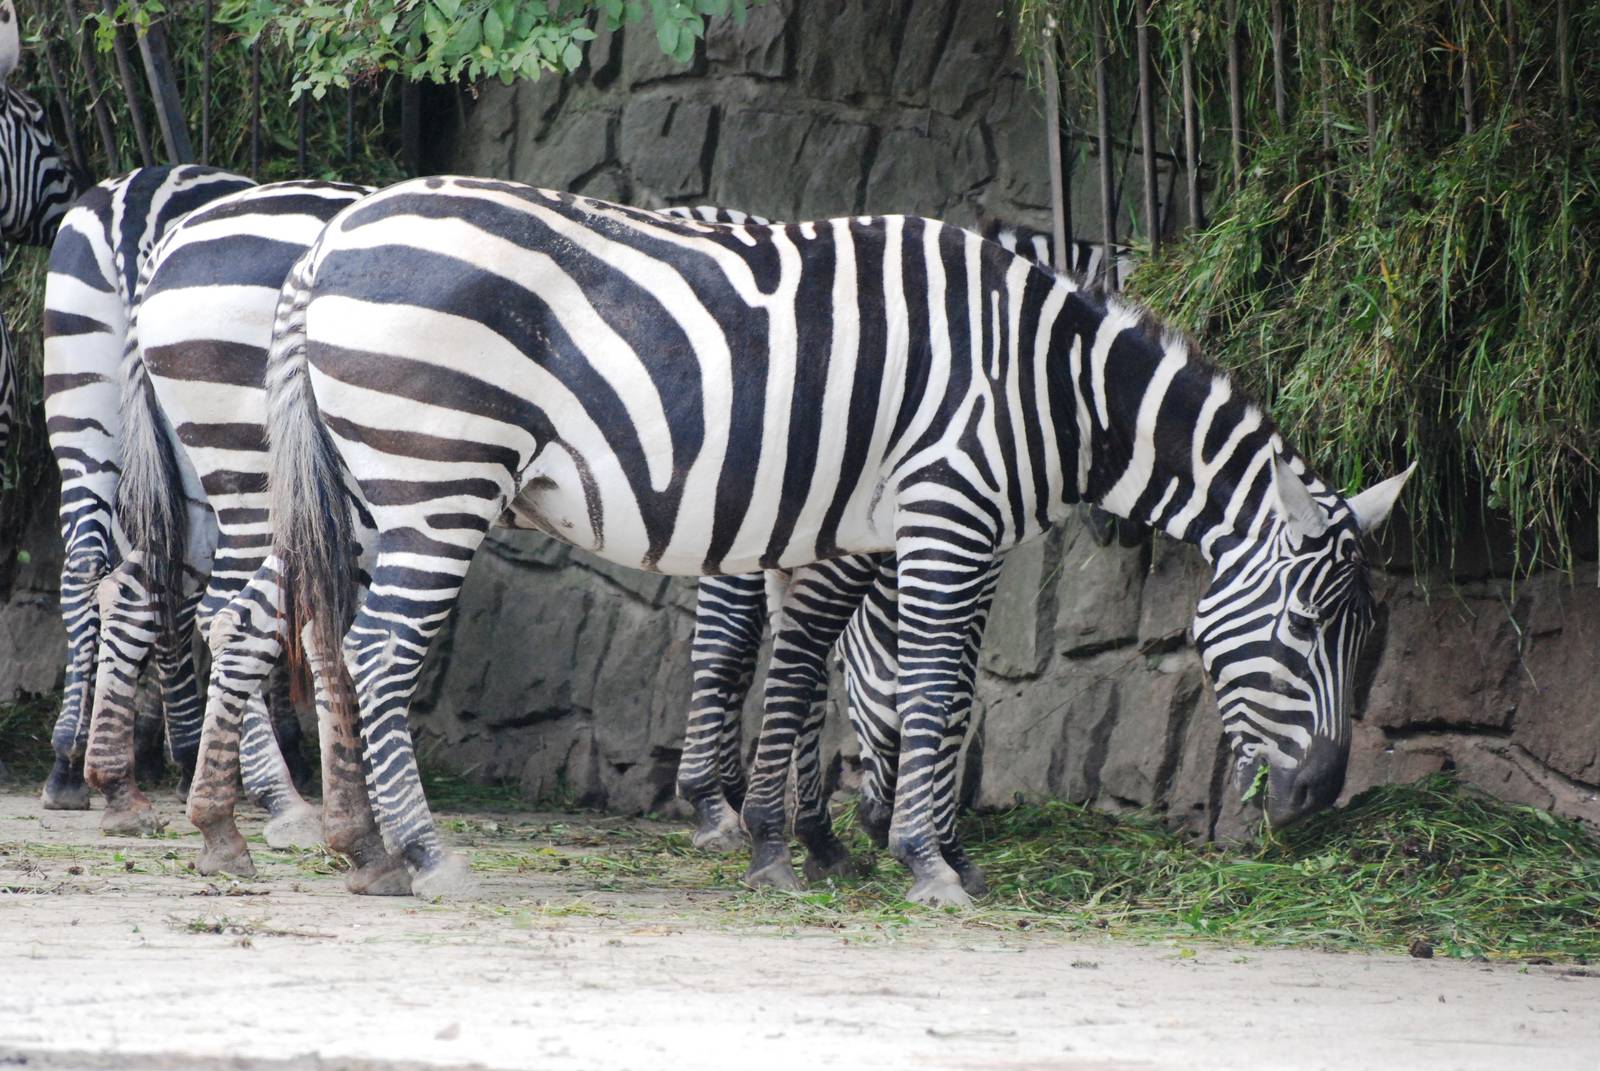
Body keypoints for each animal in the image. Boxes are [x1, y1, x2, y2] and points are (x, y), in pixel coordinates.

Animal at [245, 177, 1409, 906]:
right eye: (1304, 627)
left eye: (1371, 641)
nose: (1318, 800)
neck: (1053, 383)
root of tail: (333, 238)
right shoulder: (949, 511)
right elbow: (932, 686)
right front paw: (924, 860)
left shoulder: (880, 528)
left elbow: (841, 676)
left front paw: (818, 845)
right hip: (438, 472)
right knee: (377, 654)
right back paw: (421, 852)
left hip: (366, 486)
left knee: (315, 634)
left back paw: (360, 848)